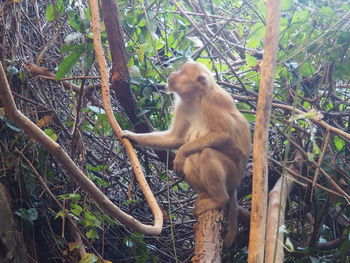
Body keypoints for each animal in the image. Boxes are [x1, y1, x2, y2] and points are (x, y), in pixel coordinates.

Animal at [121, 60, 250, 249]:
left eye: (182, 72)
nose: (173, 73)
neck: (196, 99)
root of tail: (237, 183)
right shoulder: (184, 105)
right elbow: (175, 138)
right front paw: (133, 136)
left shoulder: (212, 102)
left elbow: (225, 135)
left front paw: (181, 152)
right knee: (191, 160)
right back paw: (206, 193)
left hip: (232, 174)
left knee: (206, 153)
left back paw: (219, 198)